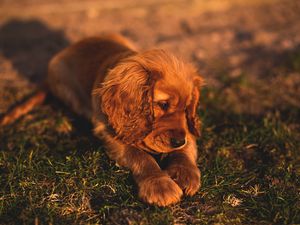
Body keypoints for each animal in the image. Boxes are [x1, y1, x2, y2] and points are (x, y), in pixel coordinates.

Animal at [1, 34, 204, 206]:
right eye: (162, 104)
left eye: (187, 108)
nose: (178, 141)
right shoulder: (108, 132)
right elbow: (140, 156)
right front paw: (159, 185)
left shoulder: (187, 129)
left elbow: (186, 147)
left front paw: (185, 174)